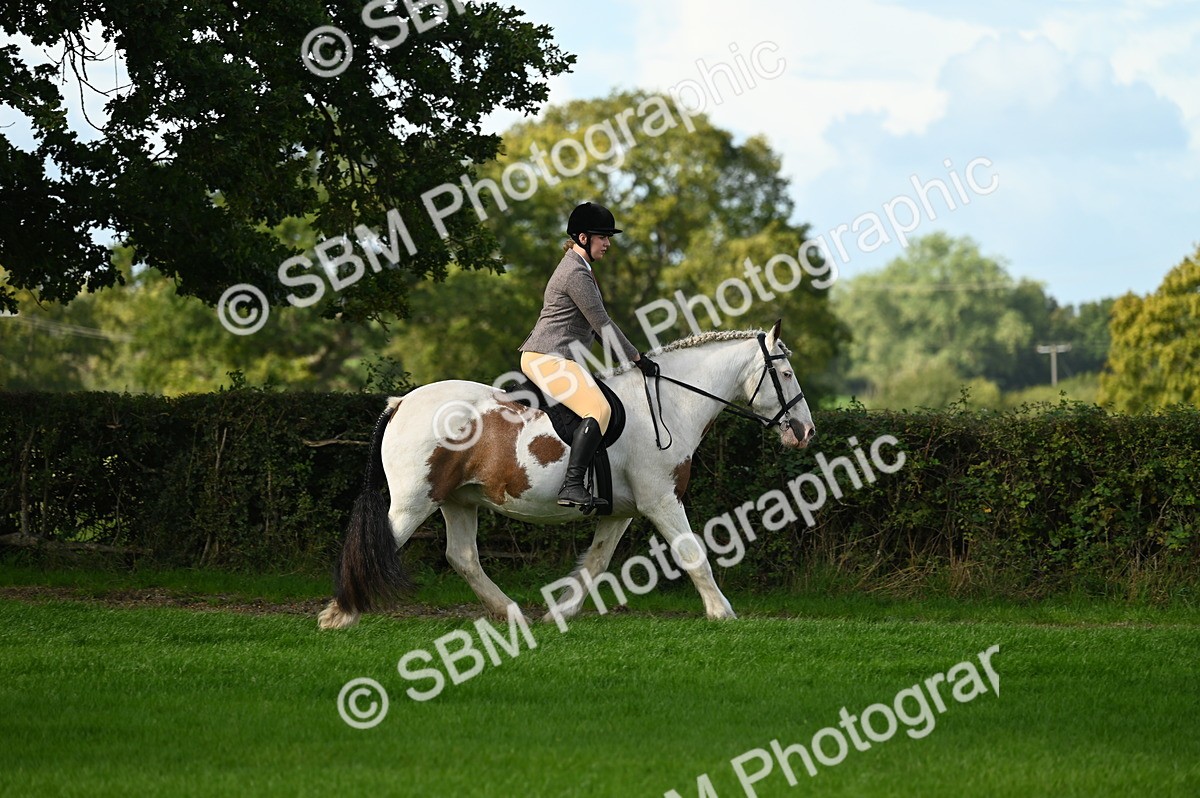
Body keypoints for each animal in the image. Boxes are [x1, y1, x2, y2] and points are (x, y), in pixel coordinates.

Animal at [317, 321, 816, 629]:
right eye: (787, 373)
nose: (806, 431)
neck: (671, 404)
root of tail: (402, 401)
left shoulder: (620, 512)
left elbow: (594, 564)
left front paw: (559, 614)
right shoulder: (661, 500)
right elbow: (693, 553)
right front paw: (721, 612)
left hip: (457, 500)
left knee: (463, 557)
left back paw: (513, 615)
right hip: (414, 500)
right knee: (381, 543)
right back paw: (340, 614)